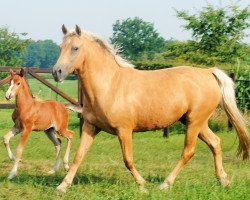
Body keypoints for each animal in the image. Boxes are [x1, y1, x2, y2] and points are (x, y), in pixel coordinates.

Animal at [51, 24, 249, 192]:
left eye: (75, 48)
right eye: (60, 47)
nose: (56, 72)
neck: (109, 85)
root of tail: (208, 72)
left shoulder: (124, 130)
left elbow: (128, 159)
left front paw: (142, 185)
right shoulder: (90, 127)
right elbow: (79, 156)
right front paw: (62, 186)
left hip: (194, 122)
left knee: (188, 151)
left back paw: (165, 184)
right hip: (196, 122)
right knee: (215, 143)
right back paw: (223, 180)